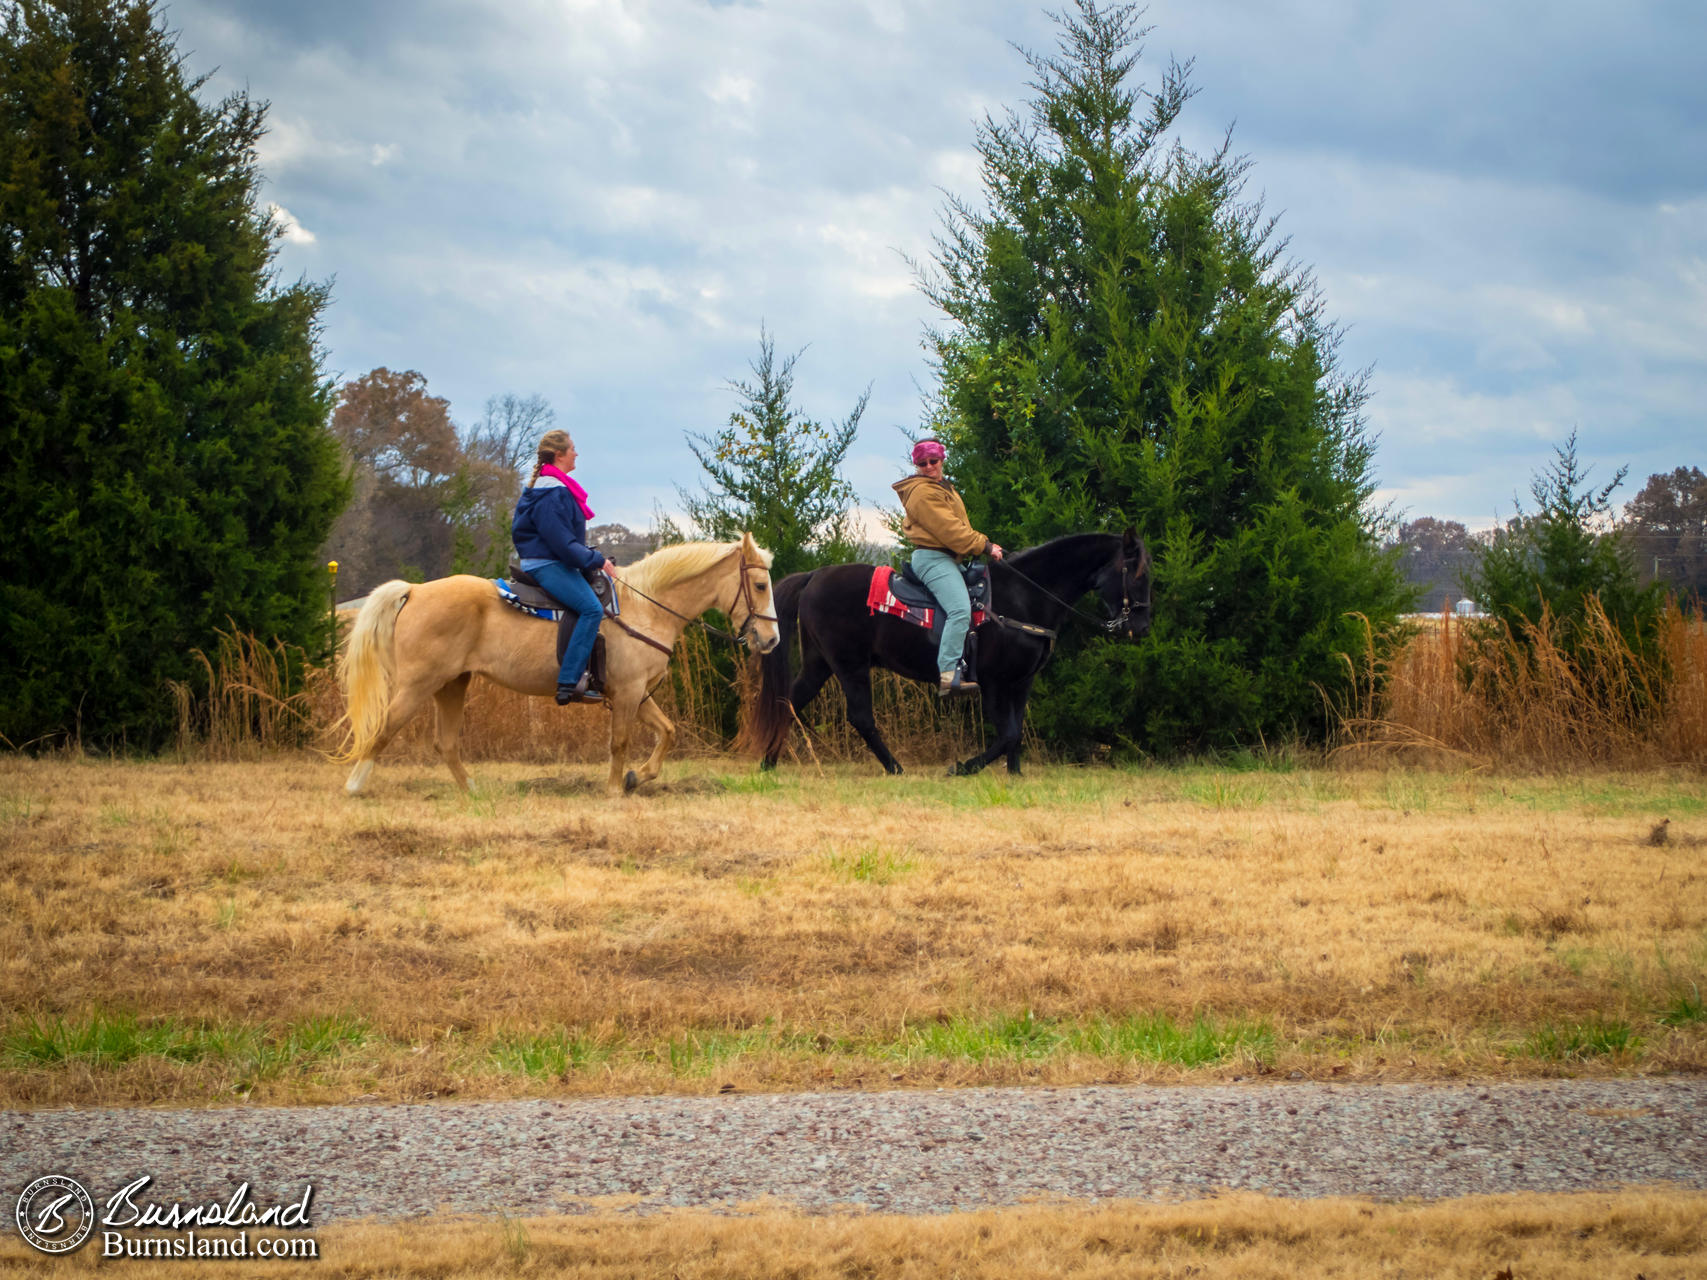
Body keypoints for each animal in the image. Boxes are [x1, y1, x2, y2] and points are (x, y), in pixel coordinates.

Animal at [339, 529, 781, 791]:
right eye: (760, 585)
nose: (772, 639)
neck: (644, 607)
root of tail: (414, 590)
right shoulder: (627, 693)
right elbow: (619, 742)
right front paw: (614, 789)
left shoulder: (637, 694)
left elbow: (668, 731)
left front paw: (638, 776)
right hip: (418, 685)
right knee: (383, 728)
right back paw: (355, 785)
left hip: (452, 684)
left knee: (445, 743)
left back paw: (471, 791)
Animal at [754, 529, 1153, 778]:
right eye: (1136, 574)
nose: (1142, 627)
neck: (1023, 597)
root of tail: (814, 576)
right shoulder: (992, 682)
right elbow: (1008, 732)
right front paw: (962, 767)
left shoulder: (1021, 682)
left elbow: (1016, 732)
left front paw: (1015, 774)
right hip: (849, 665)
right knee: (860, 717)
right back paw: (895, 768)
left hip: (820, 663)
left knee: (790, 702)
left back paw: (768, 762)